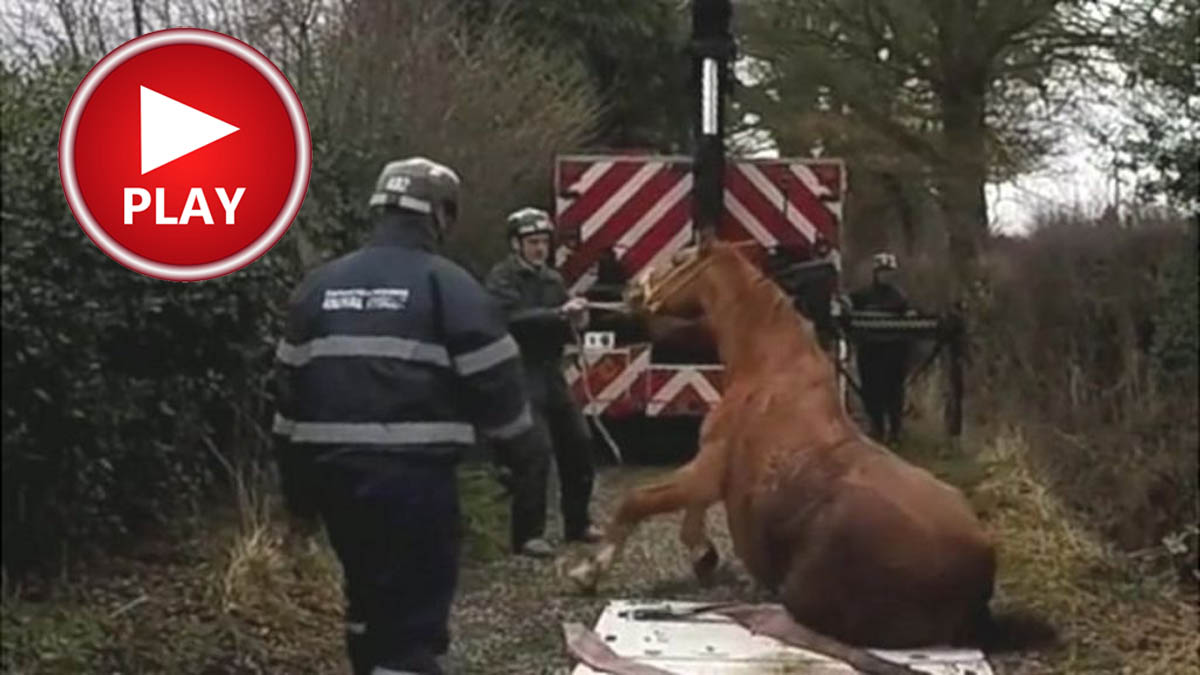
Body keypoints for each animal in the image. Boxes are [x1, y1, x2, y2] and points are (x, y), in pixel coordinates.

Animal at [566, 239, 998, 648]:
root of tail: (980, 567)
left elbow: (638, 501)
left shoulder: (708, 468)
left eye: (677, 261)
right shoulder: (712, 473)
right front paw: (703, 555)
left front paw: (589, 571)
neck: (766, 368)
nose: (630, 289)